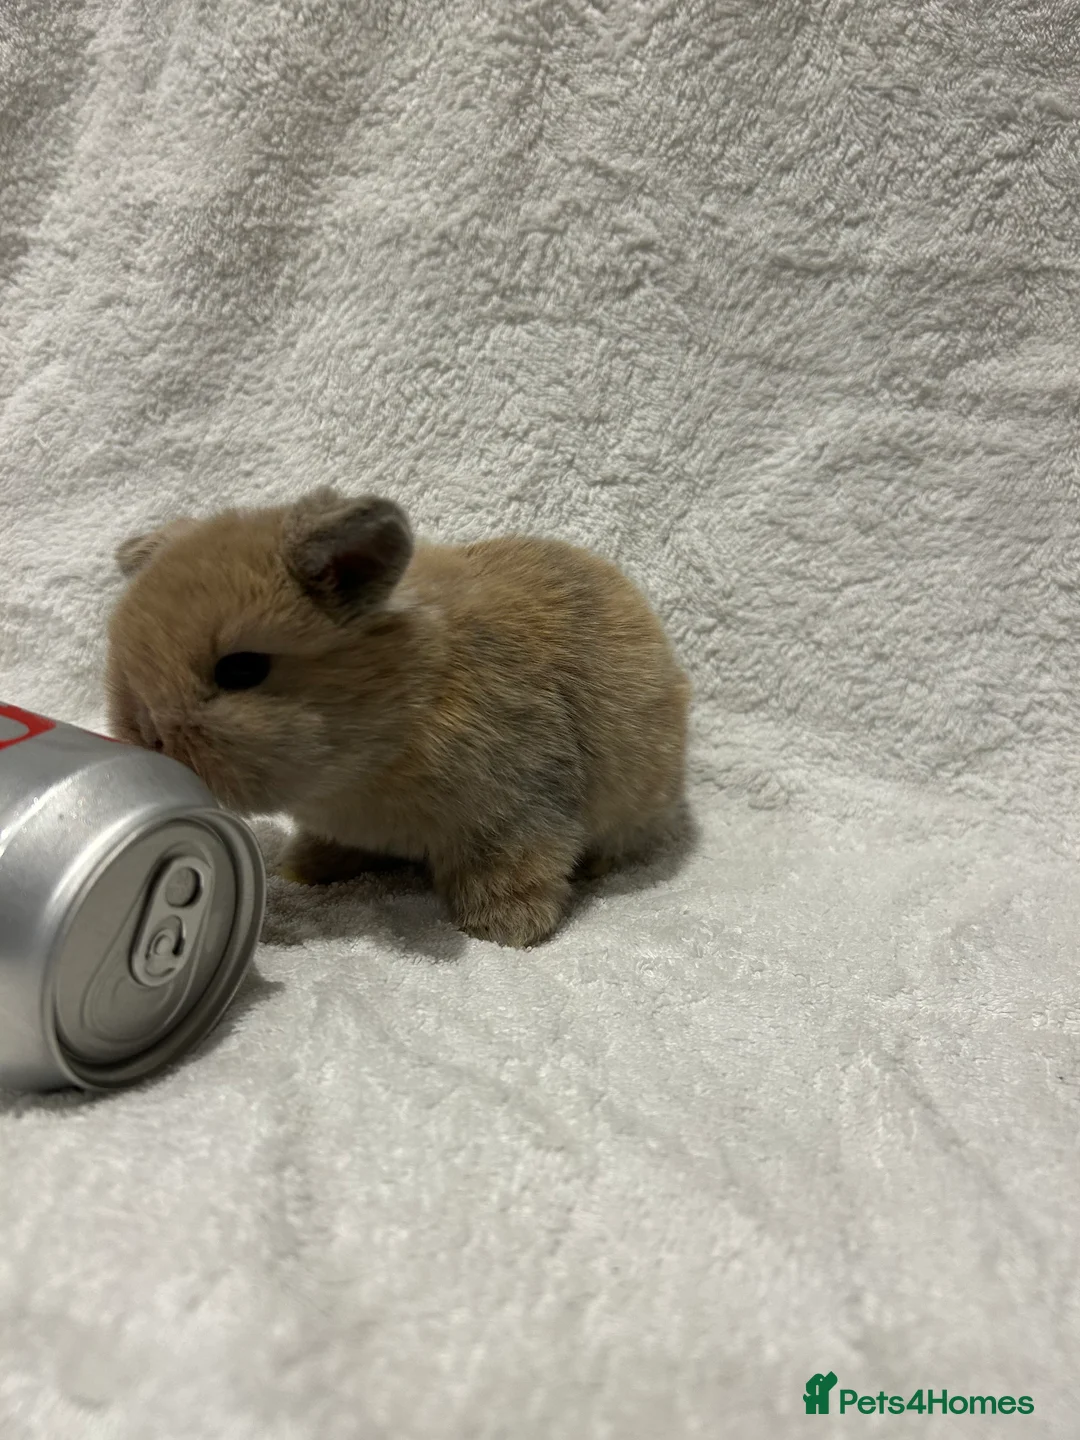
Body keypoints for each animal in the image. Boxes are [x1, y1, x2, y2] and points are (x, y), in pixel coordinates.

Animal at [106, 487, 691, 948]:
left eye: (242, 669)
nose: (147, 735)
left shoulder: (519, 811)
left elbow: (514, 869)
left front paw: (507, 929)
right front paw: (302, 870)